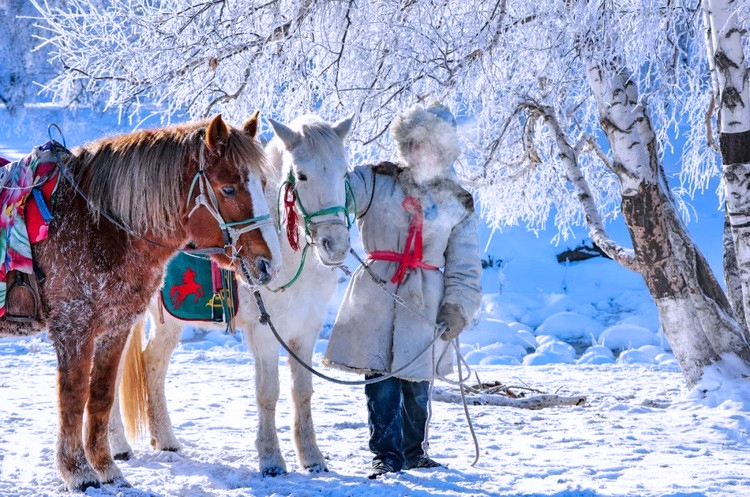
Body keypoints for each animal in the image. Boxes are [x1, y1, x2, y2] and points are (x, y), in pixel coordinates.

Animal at [0, 114, 280, 490]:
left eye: (262, 183)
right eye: (229, 189)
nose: (268, 264)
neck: (98, 225)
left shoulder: (115, 328)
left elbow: (101, 395)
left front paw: (106, 468)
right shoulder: (73, 327)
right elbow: (73, 397)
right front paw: (78, 471)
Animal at [109, 114, 356, 474]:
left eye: (343, 172)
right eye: (302, 175)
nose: (335, 246)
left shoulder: (305, 330)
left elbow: (302, 392)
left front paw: (312, 457)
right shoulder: (265, 333)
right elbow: (269, 393)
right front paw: (271, 459)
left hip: (169, 321)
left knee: (153, 363)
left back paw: (166, 439)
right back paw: (118, 445)